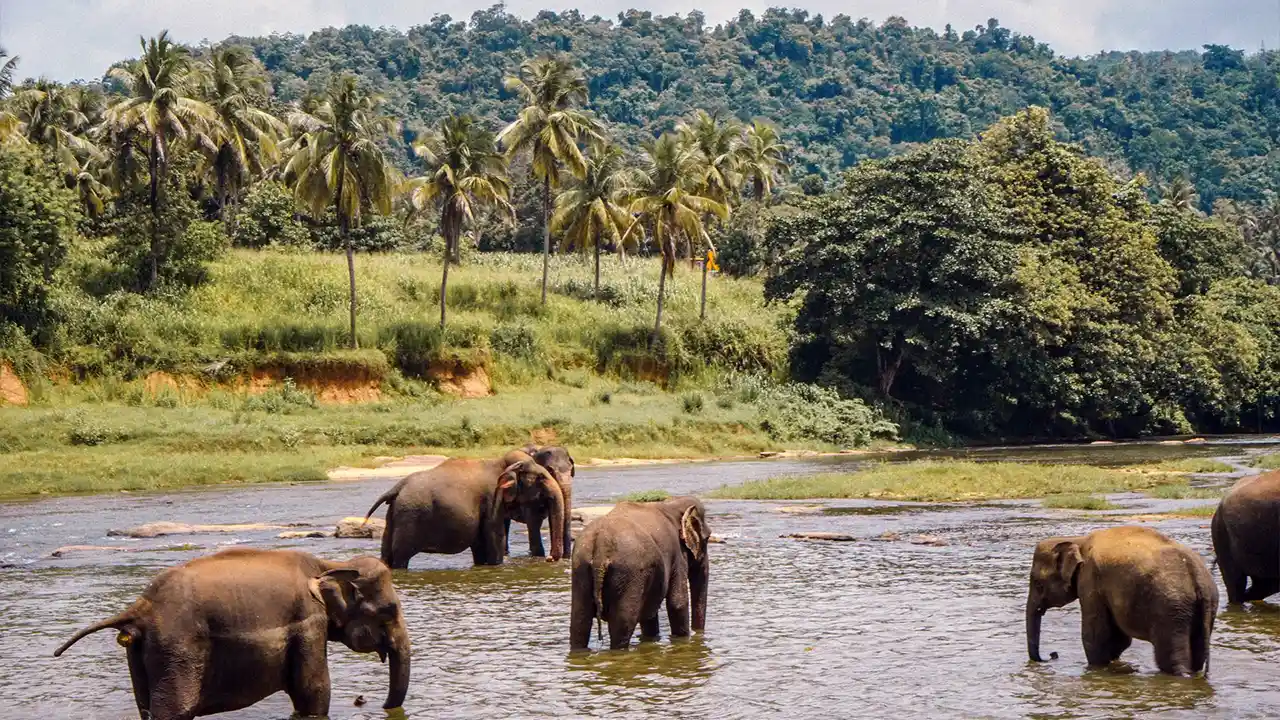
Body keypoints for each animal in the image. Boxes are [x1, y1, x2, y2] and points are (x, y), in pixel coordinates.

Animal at [52, 548, 410, 720]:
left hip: (141, 650)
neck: (327, 563)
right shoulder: (308, 622)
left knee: (146, 709)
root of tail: (140, 607)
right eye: (389, 610)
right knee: (174, 710)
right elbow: (313, 693)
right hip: (178, 648)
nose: (376, 705)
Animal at [365, 449, 565, 568]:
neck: (499, 463)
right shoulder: (491, 501)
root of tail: (397, 488)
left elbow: (480, 548)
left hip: (394, 515)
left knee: (387, 555)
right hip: (409, 517)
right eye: (541, 478)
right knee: (401, 557)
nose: (549, 558)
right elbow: (495, 541)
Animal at [569, 496, 710, 650]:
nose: (698, 634)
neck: (671, 503)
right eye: (707, 538)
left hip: (580, 567)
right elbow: (678, 603)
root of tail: (601, 544)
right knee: (623, 624)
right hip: (629, 573)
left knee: (579, 621)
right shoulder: (677, 554)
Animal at [1026, 526, 1217, 676]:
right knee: (1198, 655)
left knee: (1171, 659)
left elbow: (1095, 636)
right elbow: (1118, 639)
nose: (1052, 655)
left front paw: (1096, 669)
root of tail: (1197, 577)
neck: (1078, 541)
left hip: (1170, 610)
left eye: (1038, 584)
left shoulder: (1090, 581)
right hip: (1204, 607)